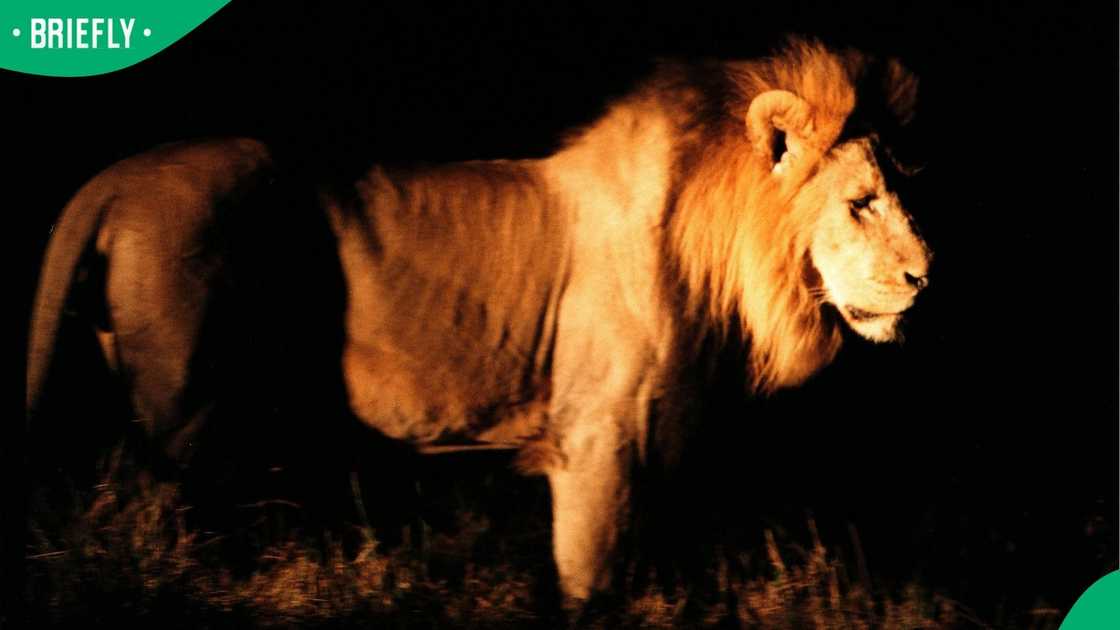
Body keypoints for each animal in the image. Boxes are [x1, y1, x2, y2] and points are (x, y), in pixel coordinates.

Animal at [27, 38, 930, 604]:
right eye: (860, 202)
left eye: (898, 191)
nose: (926, 277)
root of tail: (113, 178)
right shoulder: (598, 442)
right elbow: (591, 585)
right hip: (184, 414)